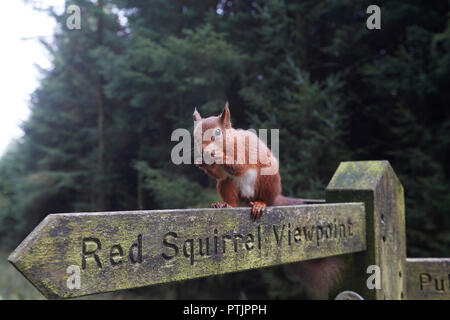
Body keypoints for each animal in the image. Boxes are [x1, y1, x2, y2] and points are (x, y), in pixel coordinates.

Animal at [192, 104, 342, 296]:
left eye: (217, 132)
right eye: (196, 133)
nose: (202, 150)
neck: (228, 144)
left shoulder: (243, 150)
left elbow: (239, 166)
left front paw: (215, 155)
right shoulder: (219, 173)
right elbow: (218, 174)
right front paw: (201, 162)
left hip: (268, 180)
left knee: (266, 198)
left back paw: (260, 204)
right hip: (226, 186)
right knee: (228, 190)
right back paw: (225, 204)